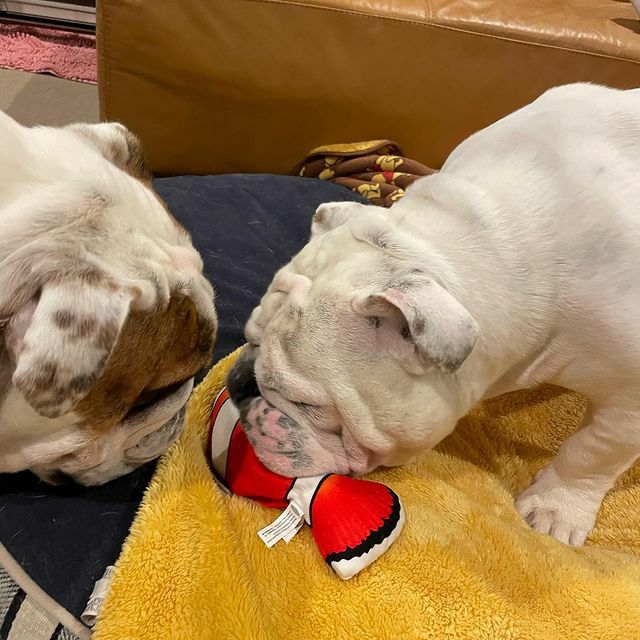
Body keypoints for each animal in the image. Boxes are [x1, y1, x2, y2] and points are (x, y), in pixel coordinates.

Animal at [227, 83, 640, 546]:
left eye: (305, 404)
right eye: (251, 338)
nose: (238, 380)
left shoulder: (628, 402)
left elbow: (591, 452)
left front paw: (555, 508)